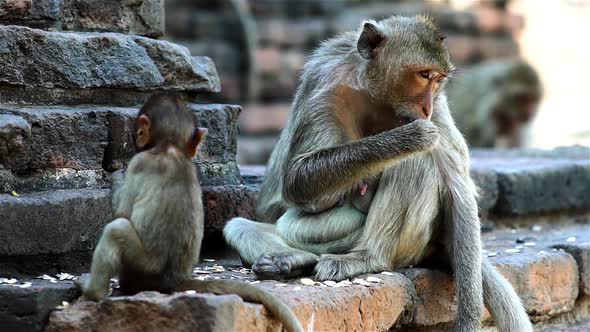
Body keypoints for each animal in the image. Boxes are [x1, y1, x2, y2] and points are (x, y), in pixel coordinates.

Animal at [78, 94, 306, 332]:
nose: (137, 137)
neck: (170, 148)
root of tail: (174, 281)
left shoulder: (139, 163)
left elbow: (122, 211)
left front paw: (116, 178)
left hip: (140, 268)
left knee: (117, 229)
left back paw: (93, 290)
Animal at [224, 16, 536, 332]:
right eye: (424, 74)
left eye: (438, 80)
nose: (426, 107)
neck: (377, 98)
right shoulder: (325, 86)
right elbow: (297, 179)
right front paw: (406, 138)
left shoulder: (439, 111)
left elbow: (458, 189)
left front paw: (469, 320)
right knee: (241, 227)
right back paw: (292, 260)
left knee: (417, 164)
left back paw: (368, 258)